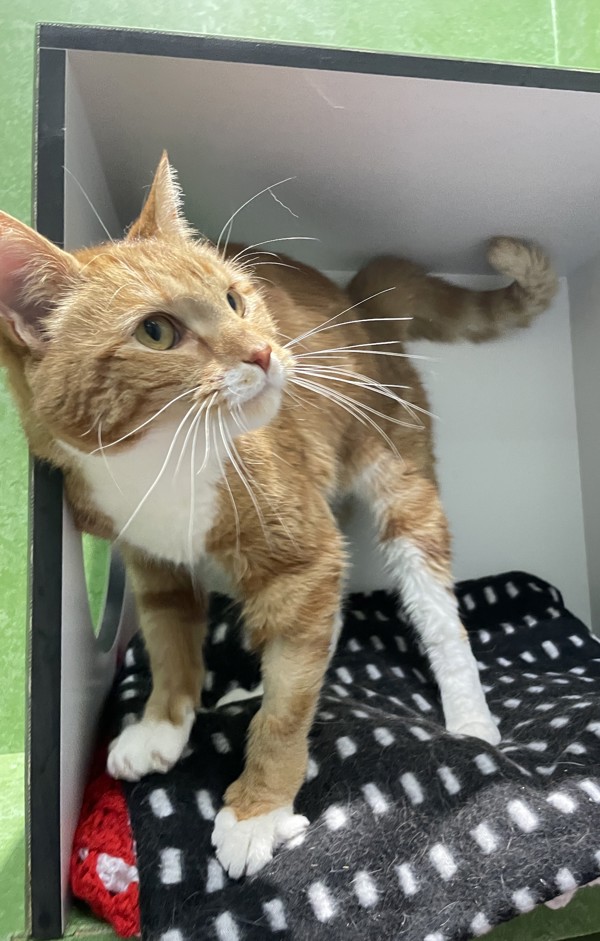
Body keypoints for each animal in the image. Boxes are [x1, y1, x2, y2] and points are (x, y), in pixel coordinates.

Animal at [0, 154, 557, 878]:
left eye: (236, 299)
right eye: (157, 331)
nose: (263, 354)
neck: (160, 468)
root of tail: (361, 307)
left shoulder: (303, 555)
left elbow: (289, 709)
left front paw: (258, 810)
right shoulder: (151, 562)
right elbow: (170, 642)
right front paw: (162, 724)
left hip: (398, 478)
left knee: (433, 613)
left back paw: (470, 721)